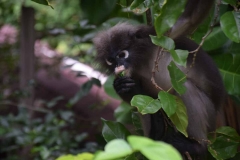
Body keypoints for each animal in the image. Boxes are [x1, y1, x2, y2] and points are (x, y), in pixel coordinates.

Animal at [92, 0, 225, 158]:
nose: (118, 65)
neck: (141, 61)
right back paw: (155, 134)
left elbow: (191, 18)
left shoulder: (160, 38)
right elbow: (133, 97)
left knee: (187, 88)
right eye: (111, 61)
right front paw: (121, 87)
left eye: (122, 54)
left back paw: (198, 146)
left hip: (209, 116)